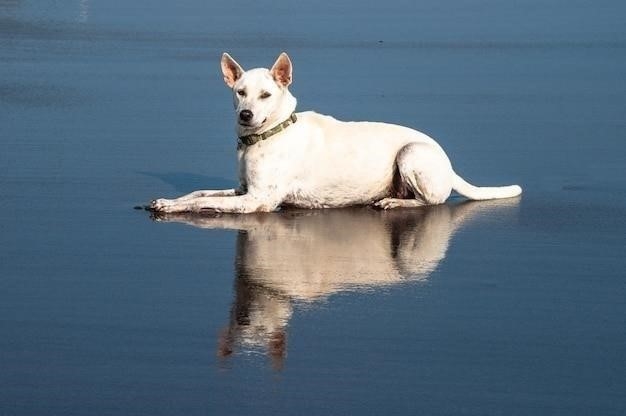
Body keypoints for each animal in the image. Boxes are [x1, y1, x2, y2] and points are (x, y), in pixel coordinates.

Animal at [149, 52, 520, 214]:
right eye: (240, 92)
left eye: (266, 95)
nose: (245, 114)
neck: (268, 135)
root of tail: (450, 167)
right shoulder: (242, 188)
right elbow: (199, 192)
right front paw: (166, 200)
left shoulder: (257, 200)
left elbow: (206, 202)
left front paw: (174, 208)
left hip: (412, 153)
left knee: (432, 202)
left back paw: (392, 202)